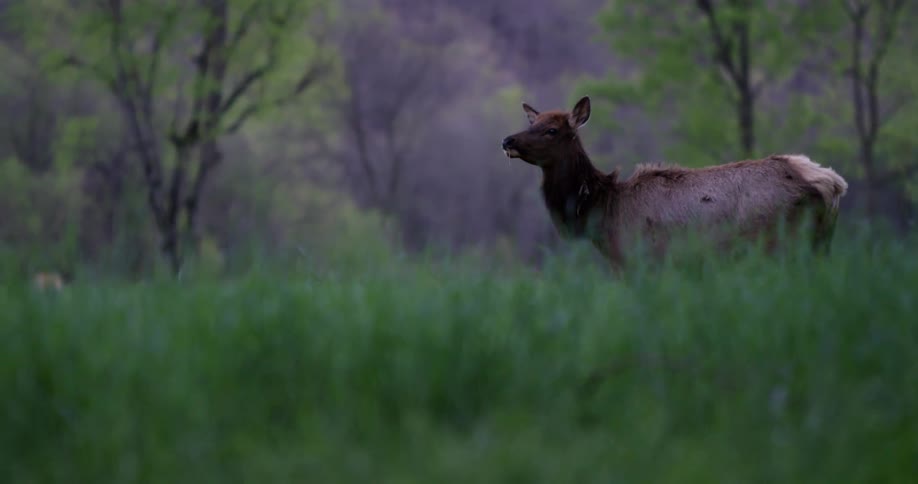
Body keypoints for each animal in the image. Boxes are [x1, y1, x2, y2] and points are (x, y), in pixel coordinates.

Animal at [500, 96, 848, 269]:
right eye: (532, 122)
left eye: (551, 130)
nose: (507, 140)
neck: (605, 213)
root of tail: (833, 184)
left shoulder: (641, 261)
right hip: (821, 245)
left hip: (785, 244)